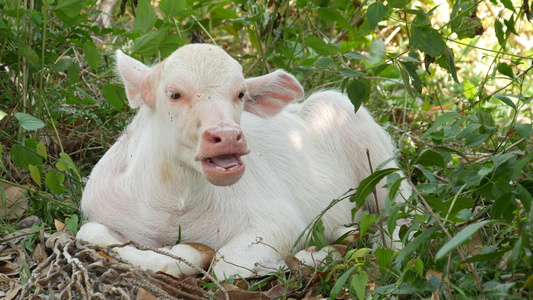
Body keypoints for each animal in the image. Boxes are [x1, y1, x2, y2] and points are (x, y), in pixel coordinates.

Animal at [76, 43, 408, 278]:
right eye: (174, 94)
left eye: (240, 94)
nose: (227, 136)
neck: (173, 203)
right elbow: (88, 234)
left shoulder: (281, 222)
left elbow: (226, 266)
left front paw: (312, 257)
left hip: (378, 161)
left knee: (403, 220)